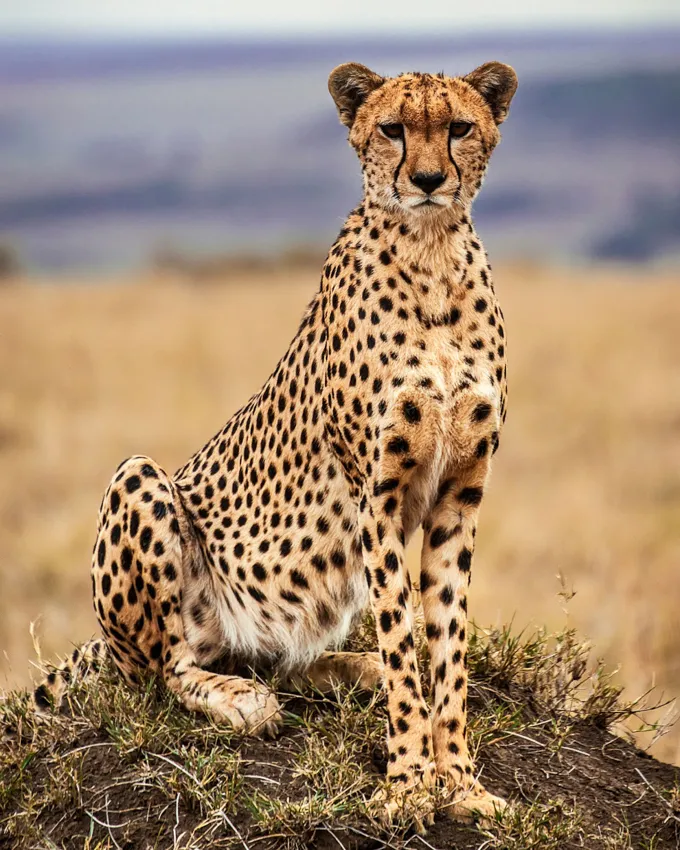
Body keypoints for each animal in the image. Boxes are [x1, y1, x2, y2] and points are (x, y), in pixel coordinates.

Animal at [34, 59, 517, 829]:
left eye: (460, 128)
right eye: (392, 129)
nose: (428, 180)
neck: (432, 252)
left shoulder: (459, 498)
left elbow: (445, 646)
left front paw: (461, 783)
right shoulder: (377, 497)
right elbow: (405, 638)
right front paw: (409, 785)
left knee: (287, 657)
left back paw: (352, 668)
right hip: (141, 482)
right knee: (170, 671)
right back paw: (244, 701)